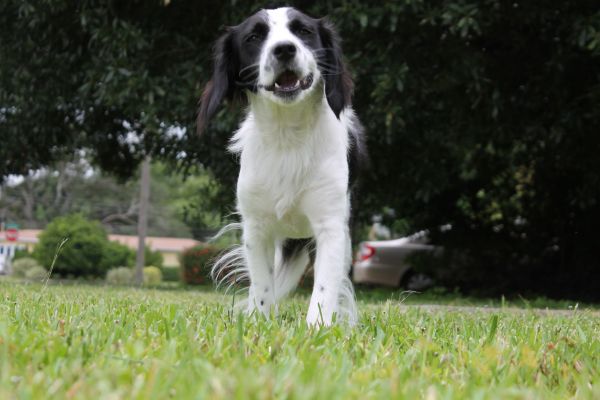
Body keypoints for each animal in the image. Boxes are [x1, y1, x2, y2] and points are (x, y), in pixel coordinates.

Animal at [198, 7, 366, 324]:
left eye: (303, 31)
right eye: (254, 37)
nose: (284, 49)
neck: (288, 135)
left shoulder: (331, 226)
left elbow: (324, 289)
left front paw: (318, 328)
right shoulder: (256, 227)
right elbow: (263, 285)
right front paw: (259, 321)